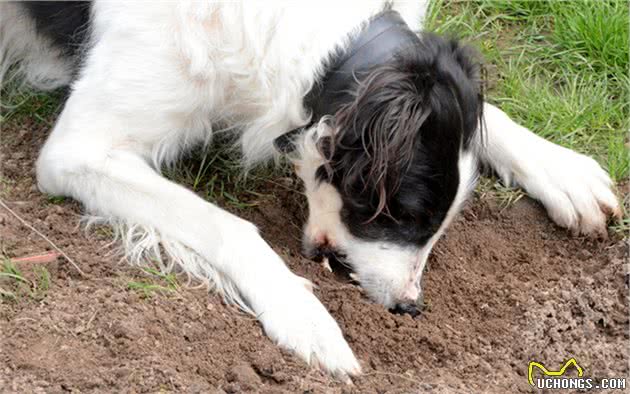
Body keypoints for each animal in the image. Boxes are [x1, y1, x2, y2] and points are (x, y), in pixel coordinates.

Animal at [1, 0, 624, 376]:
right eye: (404, 215)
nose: (410, 308)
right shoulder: (79, 150)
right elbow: (230, 226)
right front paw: (306, 315)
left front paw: (562, 169)